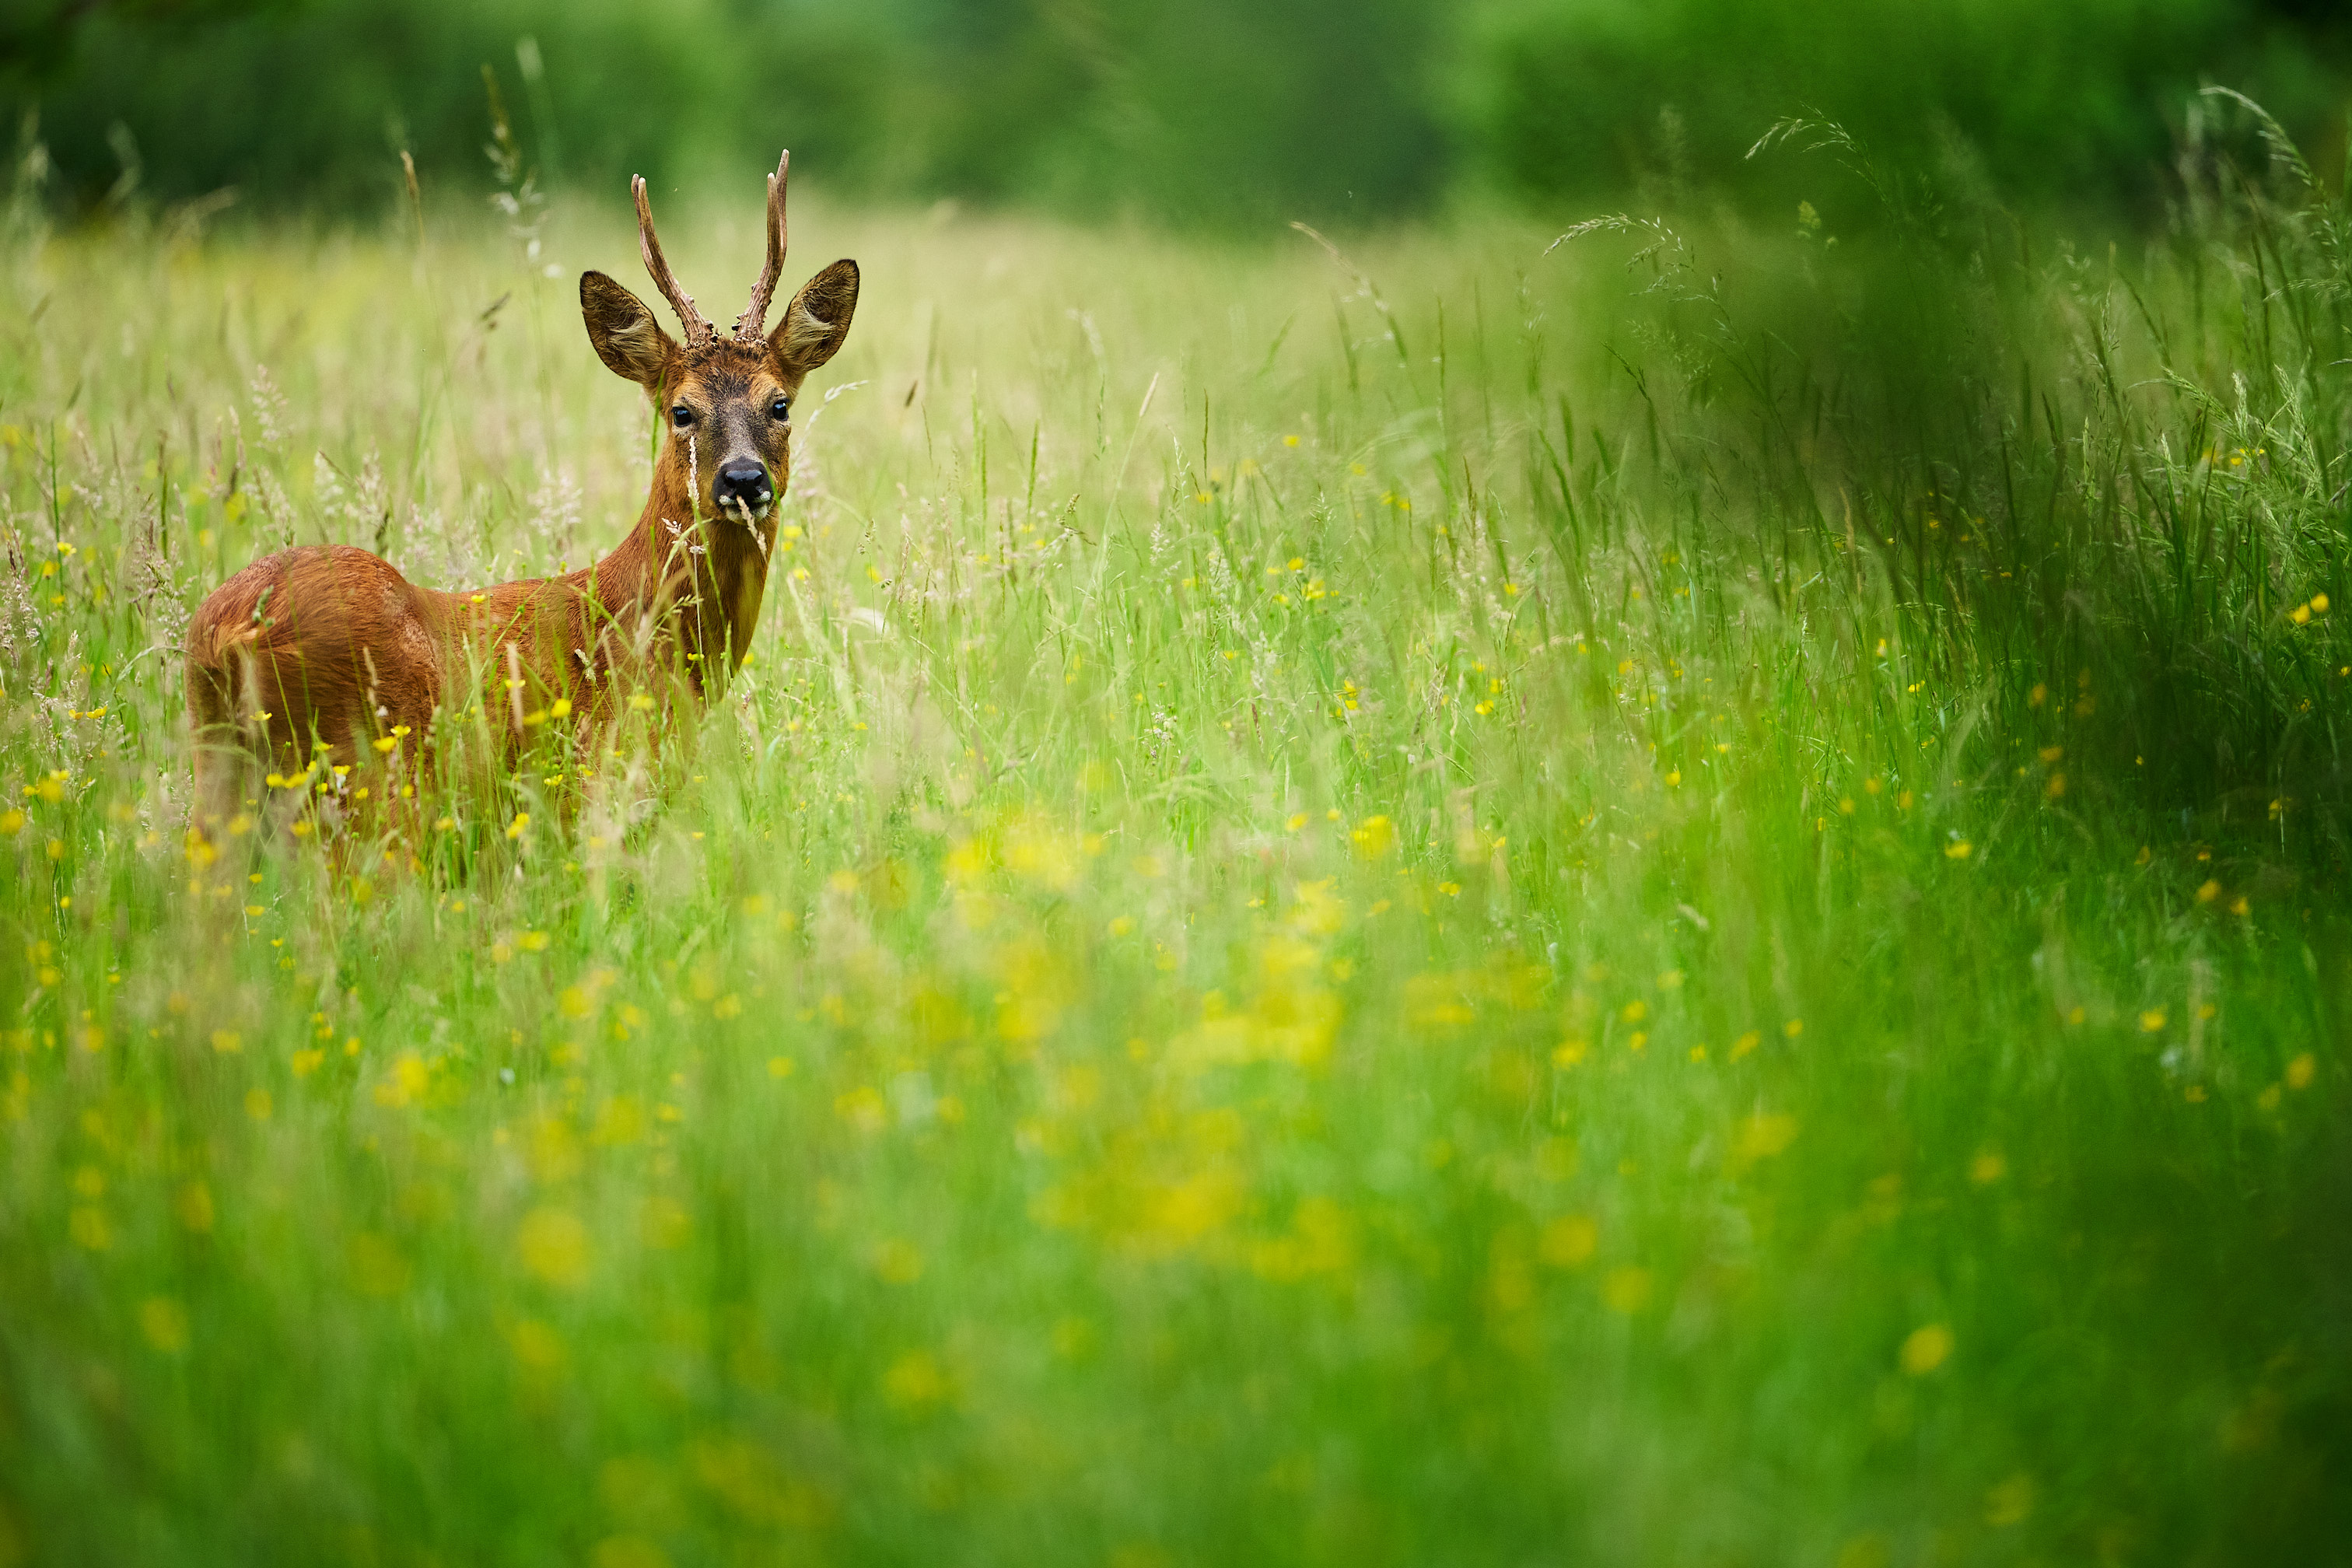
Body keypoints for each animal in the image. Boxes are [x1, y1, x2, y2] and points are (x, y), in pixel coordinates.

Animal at [184, 151, 857, 850]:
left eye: (779, 404)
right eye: (681, 411)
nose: (744, 479)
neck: (647, 629)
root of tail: (225, 632)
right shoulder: (599, 784)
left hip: (223, 776)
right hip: (371, 784)